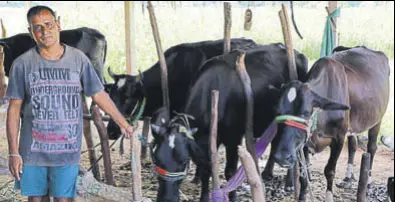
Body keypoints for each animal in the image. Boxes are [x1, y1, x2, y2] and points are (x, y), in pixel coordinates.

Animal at [152, 43, 310, 202]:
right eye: (156, 159)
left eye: (184, 161)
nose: (166, 199)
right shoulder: (204, 140)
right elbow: (205, 169)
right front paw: (204, 197)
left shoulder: (233, 138)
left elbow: (230, 171)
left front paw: (233, 197)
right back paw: (267, 173)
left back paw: (289, 183)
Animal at [272, 45, 390, 201]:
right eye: (277, 111)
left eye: (306, 112)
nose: (281, 156)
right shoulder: (304, 142)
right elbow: (304, 173)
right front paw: (302, 197)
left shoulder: (338, 138)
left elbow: (329, 171)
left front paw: (328, 197)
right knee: (353, 145)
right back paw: (348, 178)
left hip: (377, 119)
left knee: (372, 147)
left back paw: (369, 183)